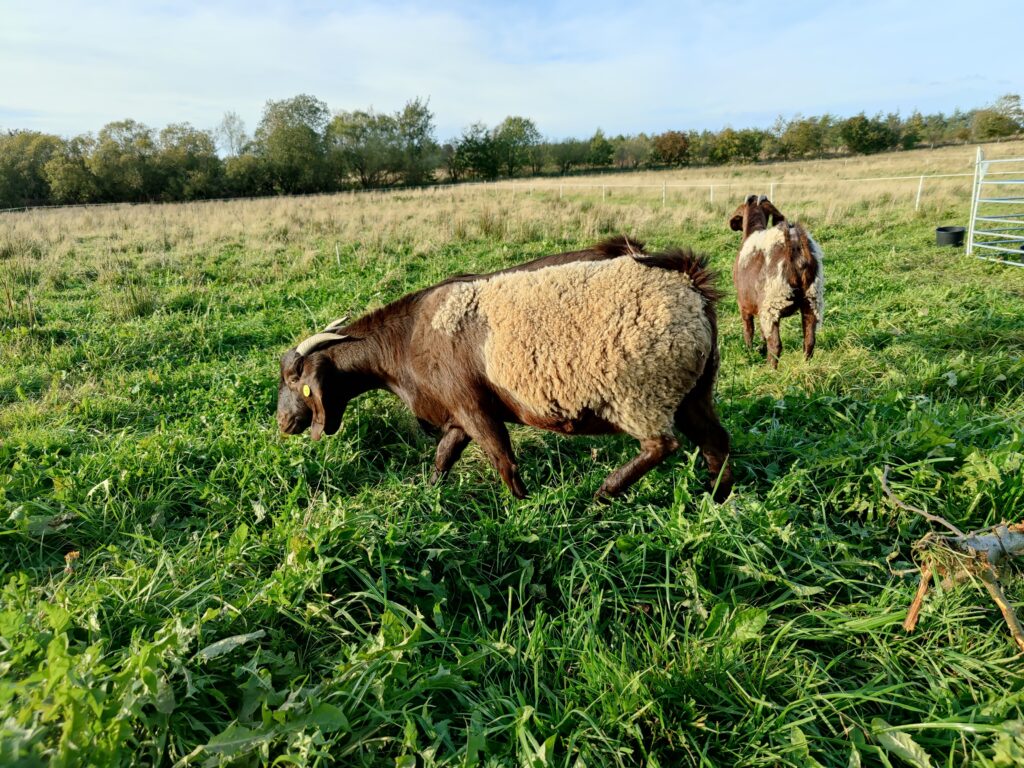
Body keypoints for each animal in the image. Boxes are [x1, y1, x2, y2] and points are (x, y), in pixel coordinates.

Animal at [276, 240, 733, 505]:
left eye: (295, 381)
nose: (282, 423)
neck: (405, 340)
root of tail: (691, 285)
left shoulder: (474, 406)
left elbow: (503, 459)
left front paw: (522, 506)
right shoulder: (458, 414)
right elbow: (444, 456)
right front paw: (429, 494)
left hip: (639, 394)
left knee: (662, 445)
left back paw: (605, 492)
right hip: (692, 391)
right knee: (717, 442)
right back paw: (717, 498)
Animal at [729, 195, 823, 370]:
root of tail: (794, 244)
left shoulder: (744, 305)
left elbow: (749, 330)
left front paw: (749, 351)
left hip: (772, 304)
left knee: (776, 344)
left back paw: (769, 370)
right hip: (812, 299)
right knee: (809, 340)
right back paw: (805, 366)